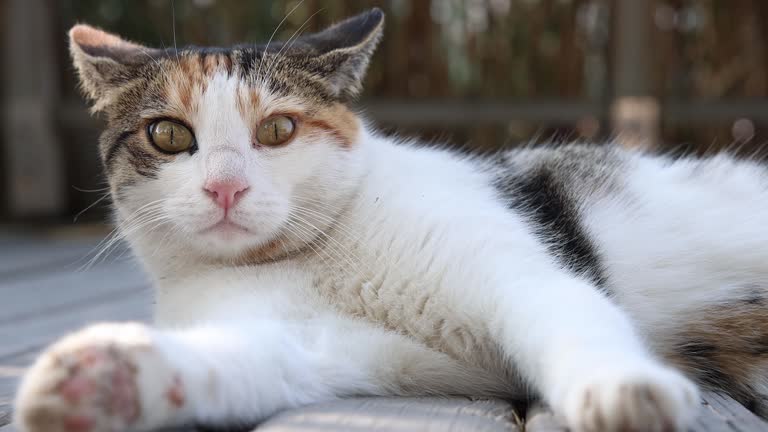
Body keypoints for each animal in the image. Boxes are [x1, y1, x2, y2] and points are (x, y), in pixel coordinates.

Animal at [12, 7, 768, 432]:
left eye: (279, 129)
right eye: (168, 135)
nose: (226, 187)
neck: (322, 256)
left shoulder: (519, 272)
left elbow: (572, 319)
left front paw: (624, 391)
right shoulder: (315, 345)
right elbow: (244, 362)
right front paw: (106, 381)